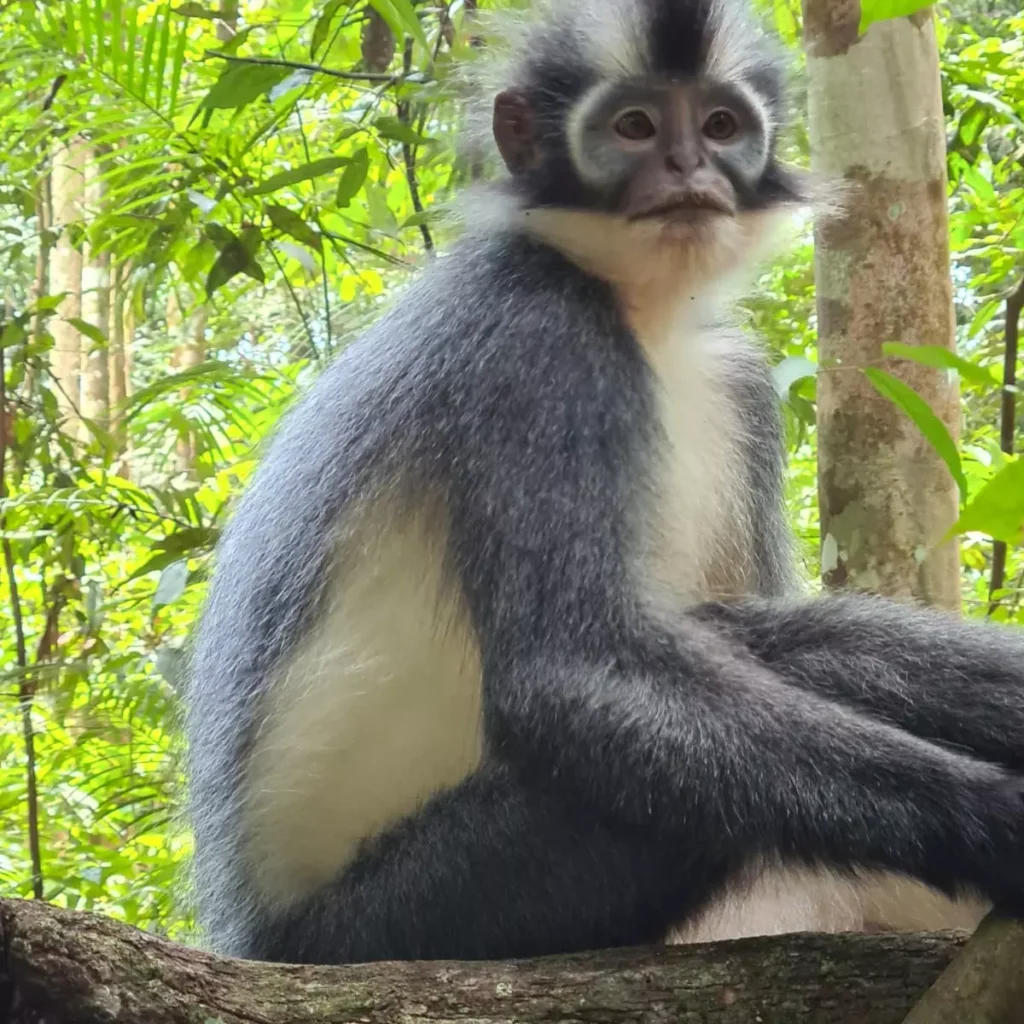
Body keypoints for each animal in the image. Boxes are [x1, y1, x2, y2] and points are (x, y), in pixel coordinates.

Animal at [188, 0, 1024, 962]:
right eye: (634, 128)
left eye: (720, 125)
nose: (688, 169)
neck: (640, 310)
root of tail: (255, 933)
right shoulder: (540, 335)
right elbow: (569, 677)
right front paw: (999, 821)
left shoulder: (738, 378)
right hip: (407, 914)